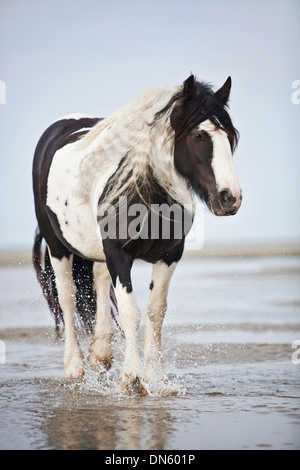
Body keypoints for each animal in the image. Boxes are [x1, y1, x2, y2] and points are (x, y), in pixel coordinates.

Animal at [31, 75, 241, 394]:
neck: (145, 192)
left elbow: (156, 312)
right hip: (58, 247)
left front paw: (159, 379)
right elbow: (131, 311)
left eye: (230, 138)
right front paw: (132, 378)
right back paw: (74, 367)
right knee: (67, 297)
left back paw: (101, 354)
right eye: (198, 135)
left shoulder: (169, 255)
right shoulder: (119, 254)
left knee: (100, 280)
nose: (231, 198)